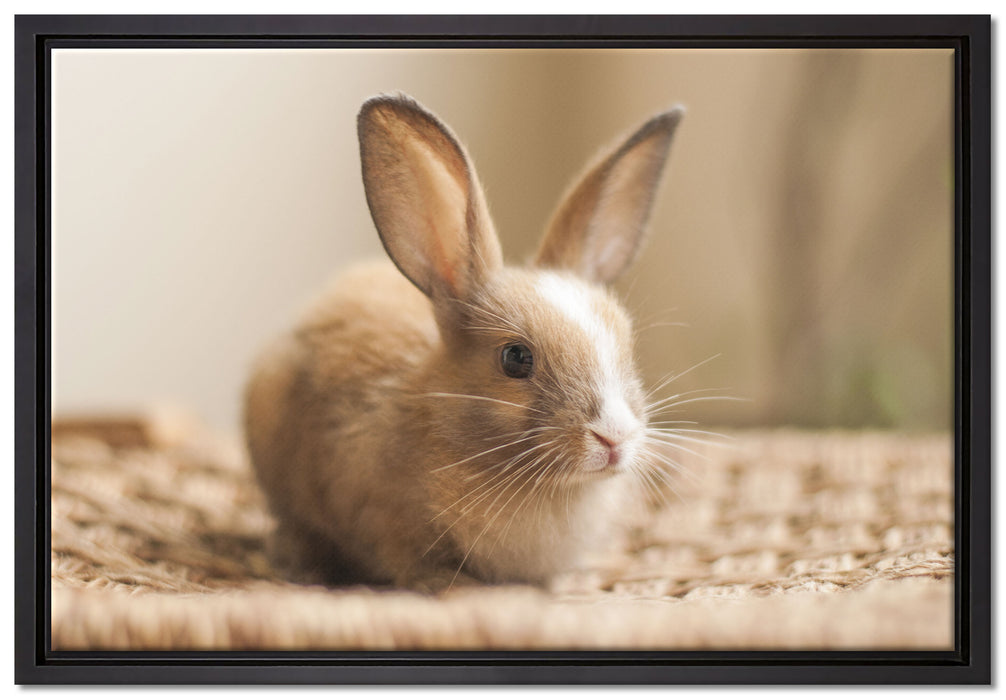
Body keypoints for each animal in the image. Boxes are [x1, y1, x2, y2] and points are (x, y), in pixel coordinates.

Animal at [244, 93, 683, 592]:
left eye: (627, 345)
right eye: (516, 358)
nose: (614, 436)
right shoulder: (382, 521)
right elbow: (409, 563)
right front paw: (455, 586)